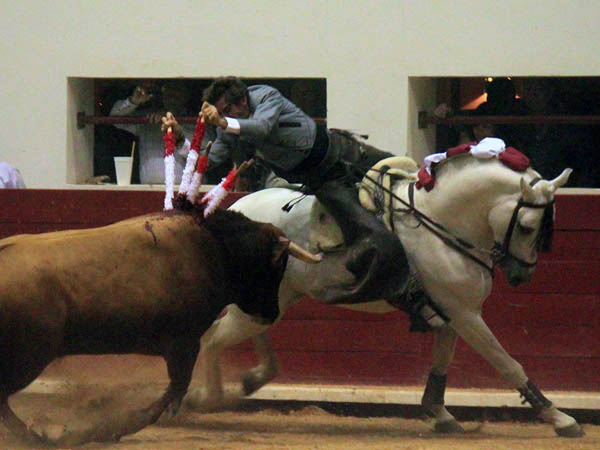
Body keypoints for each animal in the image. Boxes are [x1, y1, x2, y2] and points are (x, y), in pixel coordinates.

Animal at [0, 206, 318, 444]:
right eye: (276, 268)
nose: (271, 313)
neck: (214, 250)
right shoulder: (183, 343)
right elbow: (173, 392)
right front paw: (113, 429)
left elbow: (174, 393)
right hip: (30, 357)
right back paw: (39, 438)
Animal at [198, 150, 580, 436]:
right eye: (527, 227)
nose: (521, 275)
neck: (443, 220)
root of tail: (234, 210)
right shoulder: (466, 314)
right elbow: (507, 363)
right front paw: (561, 418)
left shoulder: (451, 312)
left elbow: (442, 362)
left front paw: (440, 414)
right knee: (212, 337)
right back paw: (203, 398)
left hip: (270, 300)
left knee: (228, 330)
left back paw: (250, 379)